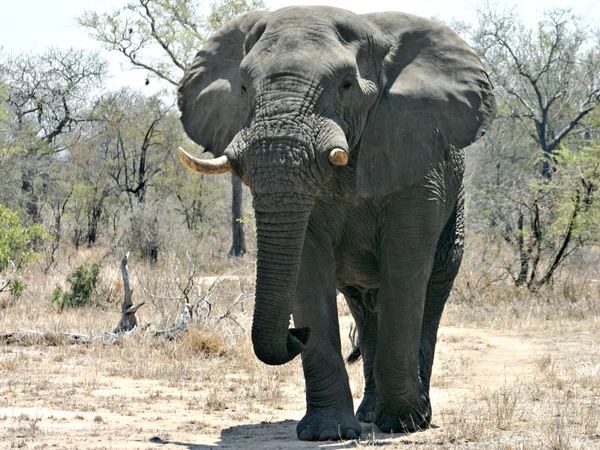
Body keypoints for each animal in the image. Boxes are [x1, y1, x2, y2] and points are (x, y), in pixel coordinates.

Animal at [176, 6, 494, 442]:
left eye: (345, 84)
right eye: (242, 86)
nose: (296, 334)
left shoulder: (418, 167)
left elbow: (406, 267)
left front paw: (402, 424)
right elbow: (307, 266)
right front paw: (328, 433)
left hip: (455, 205)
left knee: (431, 293)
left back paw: (412, 417)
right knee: (364, 307)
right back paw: (370, 413)